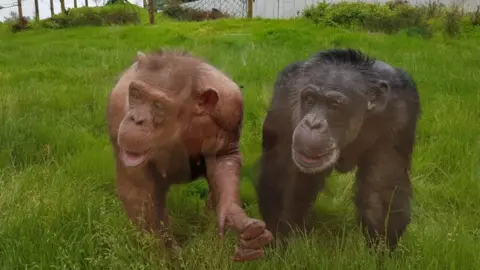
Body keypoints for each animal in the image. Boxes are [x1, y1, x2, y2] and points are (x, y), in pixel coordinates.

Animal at [255, 48, 420, 251]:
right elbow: (286, 176)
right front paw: (279, 243)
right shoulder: (285, 99)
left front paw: (382, 249)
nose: (313, 123)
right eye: (310, 99)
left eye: (334, 105)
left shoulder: (401, 110)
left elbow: (382, 183)